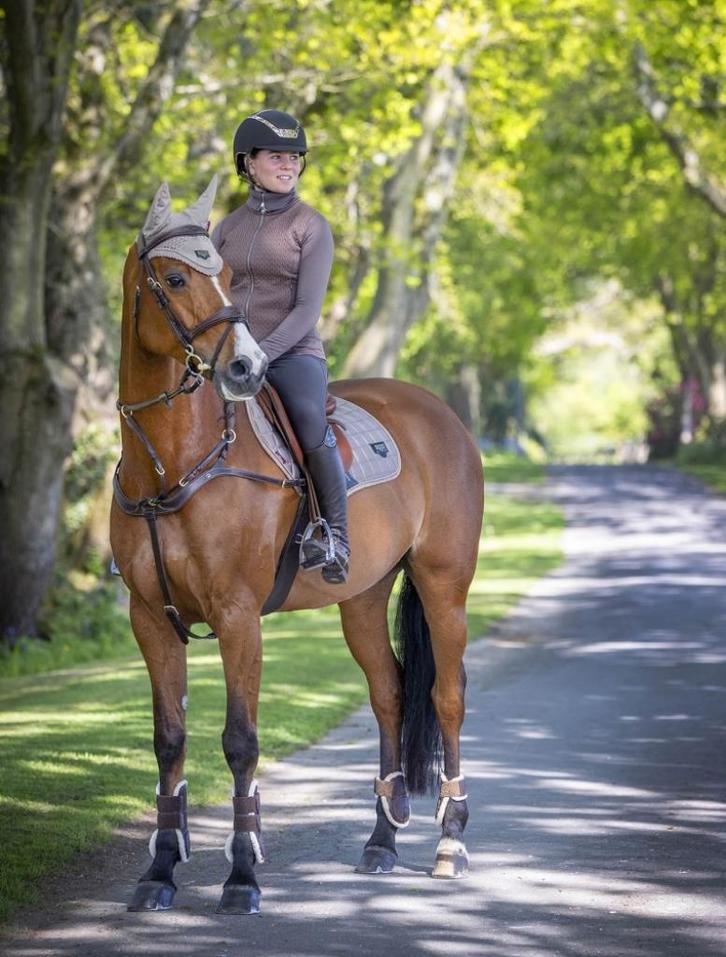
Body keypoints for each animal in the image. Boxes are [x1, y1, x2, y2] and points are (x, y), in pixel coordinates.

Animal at [110, 177, 484, 915]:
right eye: (176, 276)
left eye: (225, 277)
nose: (246, 365)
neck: (174, 461)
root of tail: (444, 416)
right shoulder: (150, 619)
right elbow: (169, 741)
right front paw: (160, 871)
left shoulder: (237, 617)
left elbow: (239, 742)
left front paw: (242, 877)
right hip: (363, 598)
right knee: (389, 693)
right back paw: (381, 841)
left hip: (443, 585)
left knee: (446, 695)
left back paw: (450, 844)